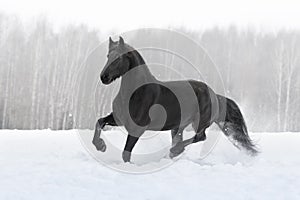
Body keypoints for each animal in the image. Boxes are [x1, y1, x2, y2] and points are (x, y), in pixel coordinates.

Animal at [92, 37, 258, 162]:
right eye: (108, 56)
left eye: (118, 58)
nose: (103, 77)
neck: (136, 93)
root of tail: (215, 95)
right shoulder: (119, 119)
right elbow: (99, 122)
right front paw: (101, 146)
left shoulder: (137, 128)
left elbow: (126, 153)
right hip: (178, 127)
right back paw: (173, 153)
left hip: (199, 122)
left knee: (200, 136)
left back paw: (175, 151)